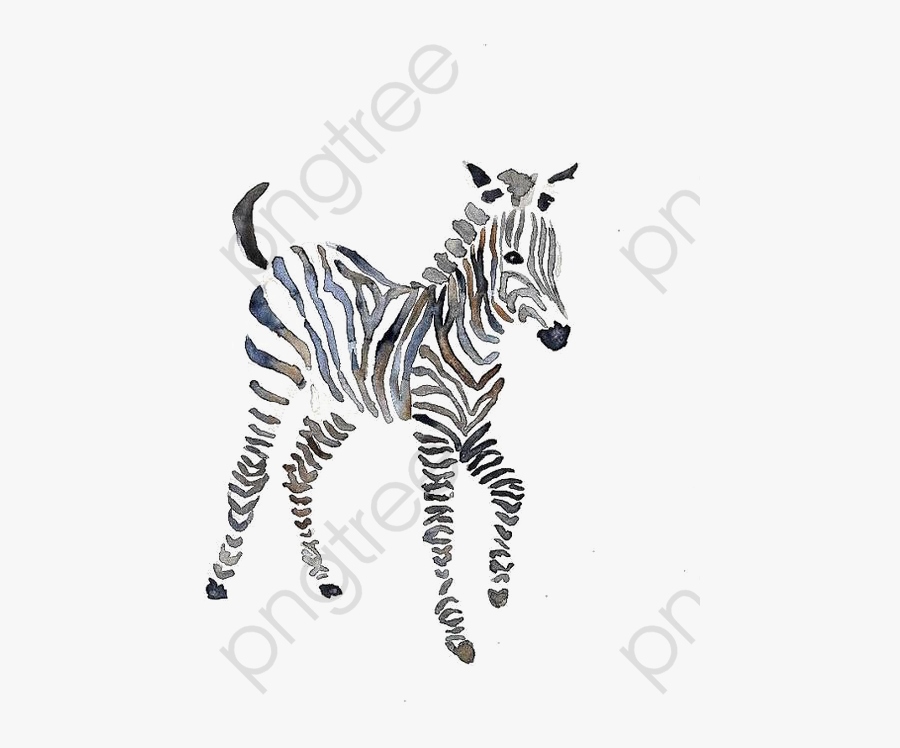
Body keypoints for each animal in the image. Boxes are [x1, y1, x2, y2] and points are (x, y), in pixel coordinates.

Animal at [206, 161, 577, 664]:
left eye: (553, 259)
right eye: (514, 258)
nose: (559, 335)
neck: (473, 335)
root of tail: (284, 257)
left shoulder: (473, 430)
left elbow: (513, 491)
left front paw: (498, 584)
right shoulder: (436, 434)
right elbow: (441, 529)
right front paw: (456, 631)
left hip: (338, 405)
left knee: (298, 473)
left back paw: (322, 577)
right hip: (274, 377)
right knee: (250, 471)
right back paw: (220, 577)